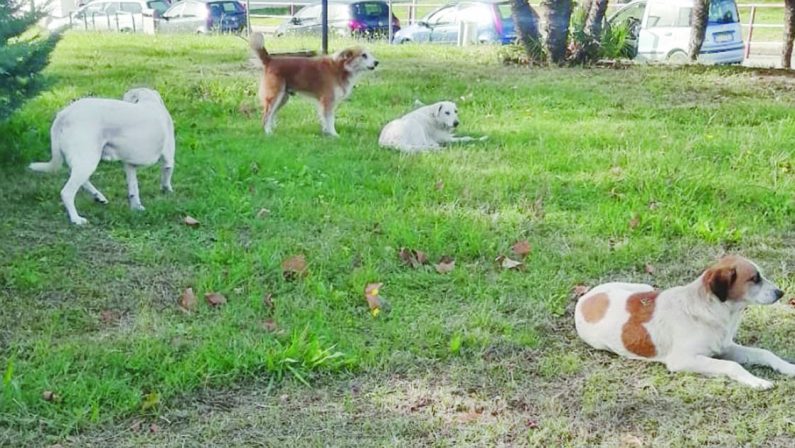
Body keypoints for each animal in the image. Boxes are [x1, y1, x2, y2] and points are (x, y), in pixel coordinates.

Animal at [28, 88, 175, 226]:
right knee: (67, 192)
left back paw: (98, 196)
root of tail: (65, 113)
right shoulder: (168, 159)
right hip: (88, 160)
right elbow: (166, 176)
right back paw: (76, 219)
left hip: (84, 160)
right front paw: (167, 190)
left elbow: (133, 189)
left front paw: (137, 208)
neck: (149, 100)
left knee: (81, 180)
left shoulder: (129, 165)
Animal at [252, 32, 380, 136]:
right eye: (363, 55)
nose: (377, 62)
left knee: (272, 114)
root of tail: (270, 60)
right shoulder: (327, 100)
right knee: (266, 116)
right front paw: (334, 134)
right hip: (274, 96)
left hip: (283, 98)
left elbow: (326, 119)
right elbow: (330, 119)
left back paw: (273, 129)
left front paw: (326, 132)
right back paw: (268, 132)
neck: (341, 68)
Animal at [576, 256, 792, 388]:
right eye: (754, 279)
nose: (781, 293)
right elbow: (731, 366)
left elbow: (763, 353)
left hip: (643, 287)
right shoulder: (683, 360)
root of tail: (586, 297)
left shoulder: (725, 346)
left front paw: (789, 367)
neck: (709, 308)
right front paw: (757, 381)